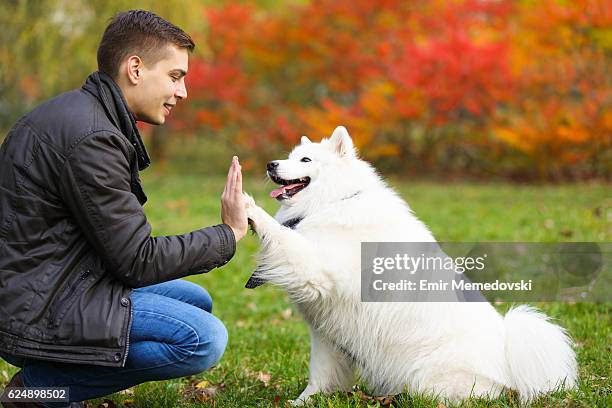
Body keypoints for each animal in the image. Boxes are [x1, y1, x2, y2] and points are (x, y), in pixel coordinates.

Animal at [241, 126, 576, 404]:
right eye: (289, 156)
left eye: (305, 159)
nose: (271, 164)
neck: (335, 201)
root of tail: (509, 361)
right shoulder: (326, 333)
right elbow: (321, 375)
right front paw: (305, 401)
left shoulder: (316, 268)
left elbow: (283, 236)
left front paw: (250, 208)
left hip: (428, 375)